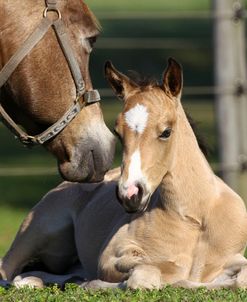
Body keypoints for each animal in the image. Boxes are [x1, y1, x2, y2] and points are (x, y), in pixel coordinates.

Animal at [1, 57, 247, 290]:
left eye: (166, 132)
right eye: (118, 132)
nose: (130, 194)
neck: (195, 217)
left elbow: (239, 279)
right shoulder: (111, 256)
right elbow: (144, 278)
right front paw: (94, 285)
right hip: (34, 232)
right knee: (7, 273)